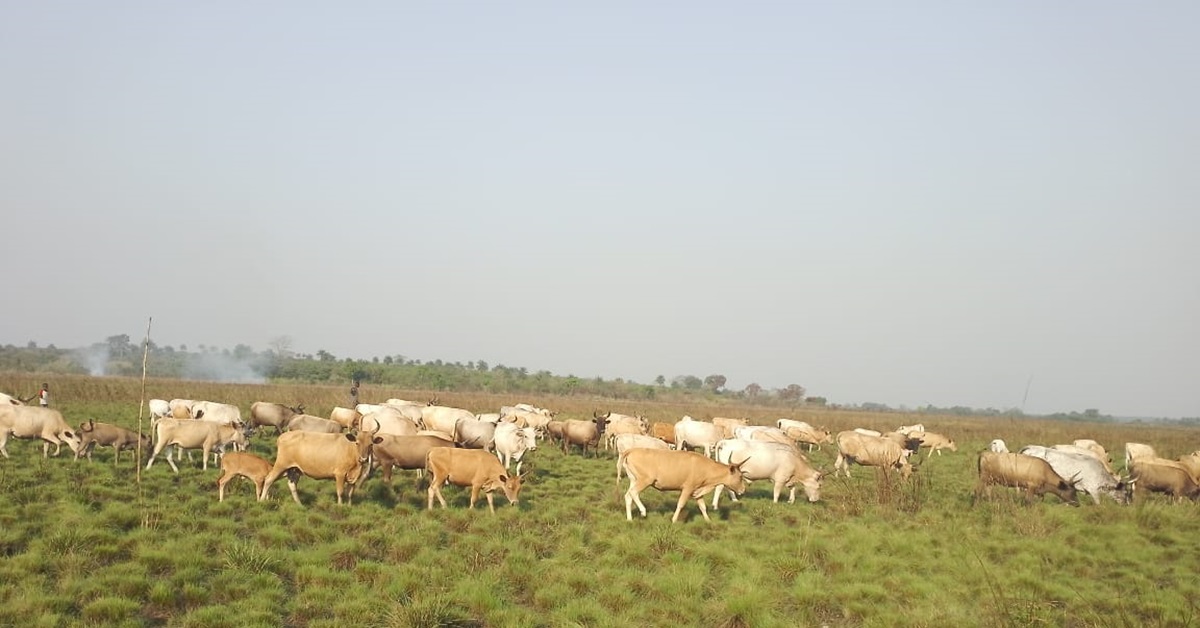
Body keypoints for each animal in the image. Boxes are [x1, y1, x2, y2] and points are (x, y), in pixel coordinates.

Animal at [620, 448, 750, 523]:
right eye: (740, 476)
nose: (743, 490)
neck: (705, 467)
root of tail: (632, 451)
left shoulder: (697, 491)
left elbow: (702, 507)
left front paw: (708, 521)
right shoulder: (688, 489)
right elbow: (681, 504)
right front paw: (673, 520)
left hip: (634, 480)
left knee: (628, 496)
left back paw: (629, 519)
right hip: (645, 480)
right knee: (633, 493)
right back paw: (643, 511)